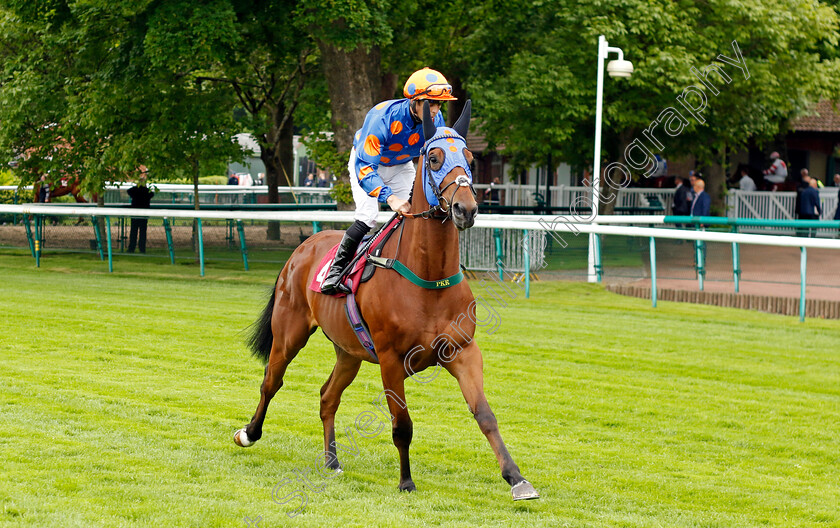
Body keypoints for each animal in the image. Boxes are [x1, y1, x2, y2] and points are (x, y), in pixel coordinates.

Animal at [235, 101, 540, 502]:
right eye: (434, 158)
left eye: (471, 158)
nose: (466, 209)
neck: (428, 279)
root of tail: (302, 247)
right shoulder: (392, 359)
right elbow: (402, 424)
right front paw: (406, 481)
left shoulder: (463, 351)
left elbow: (485, 415)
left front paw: (517, 478)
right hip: (289, 333)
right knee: (271, 381)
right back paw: (248, 433)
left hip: (348, 351)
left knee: (327, 396)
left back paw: (332, 461)